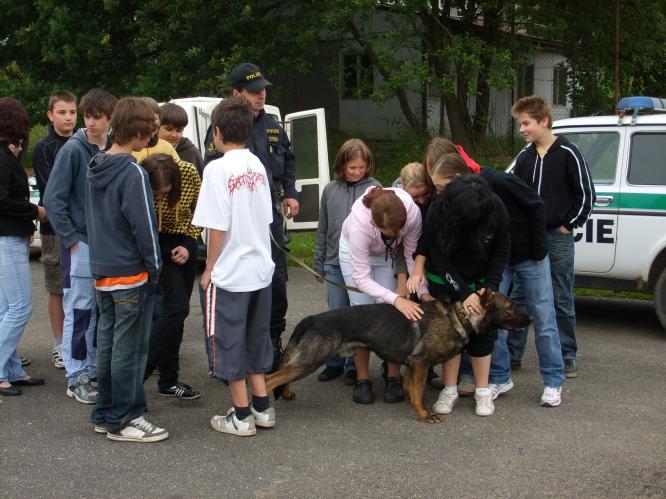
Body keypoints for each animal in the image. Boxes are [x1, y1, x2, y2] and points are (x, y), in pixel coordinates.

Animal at [264, 292, 528, 424]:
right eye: (511, 307)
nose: (532, 318)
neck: (459, 317)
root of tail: (312, 318)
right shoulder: (420, 364)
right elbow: (419, 392)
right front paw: (424, 415)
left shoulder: (412, 366)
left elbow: (412, 390)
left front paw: (414, 406)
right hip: (309, 361)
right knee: (270, 379)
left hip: (304, 361)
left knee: (281, 375)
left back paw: (285, 394)